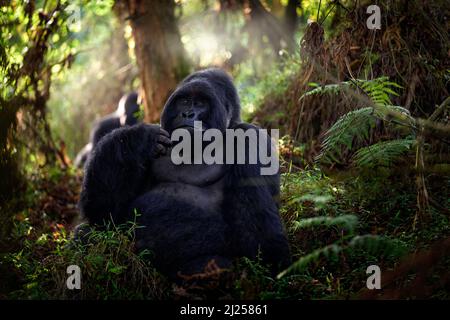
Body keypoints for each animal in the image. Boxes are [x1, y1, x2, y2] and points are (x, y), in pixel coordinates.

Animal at [78, 69, 290, 278]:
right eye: (185, 101)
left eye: (201, 103)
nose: (187, 113)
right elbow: (103, 212)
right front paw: (139, 138)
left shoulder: (249, 136)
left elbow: (258, 238)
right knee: (89, 232)